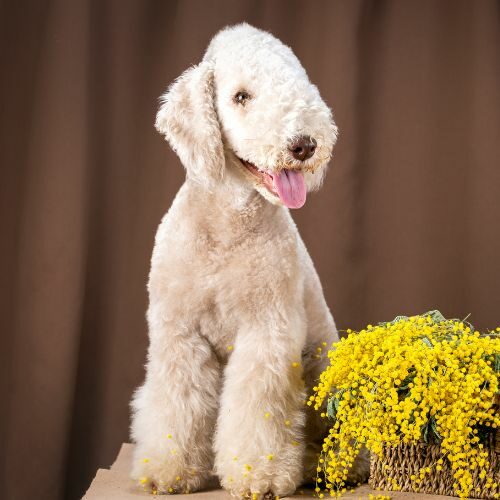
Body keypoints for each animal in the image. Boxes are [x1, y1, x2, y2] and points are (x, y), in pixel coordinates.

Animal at [131, 23, 368, 500]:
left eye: (298, 84)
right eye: (241, 96)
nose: (304, 144)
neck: (228, 226)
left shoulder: (267, 330)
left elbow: (258, 407)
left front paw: (260, 473)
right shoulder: (178, 332)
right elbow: (175, 401)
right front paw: (168, 469)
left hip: (322, 368)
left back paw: (325, 465)